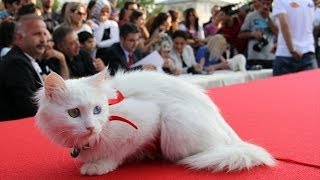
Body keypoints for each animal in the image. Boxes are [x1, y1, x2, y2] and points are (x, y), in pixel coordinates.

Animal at [34, 69, 276, 176]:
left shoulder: (146, 123)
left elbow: (117, 153)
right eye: (74, 113)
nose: (91, 127)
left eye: (97, 110)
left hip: (174, 122)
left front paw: (99, 166)